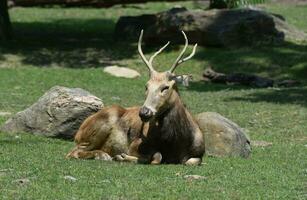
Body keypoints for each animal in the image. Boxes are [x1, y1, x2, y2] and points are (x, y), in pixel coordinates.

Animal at [67, 30, 207, 166]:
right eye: (146, 86)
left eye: (165, 87)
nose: (144, 112)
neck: (175, 144)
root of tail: (78, 132)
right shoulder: (136, 144)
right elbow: (157, 156)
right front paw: (121, 156)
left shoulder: (199, 153)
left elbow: (193, 161)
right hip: (101, 124)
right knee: (72, 152)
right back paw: (103, 155)